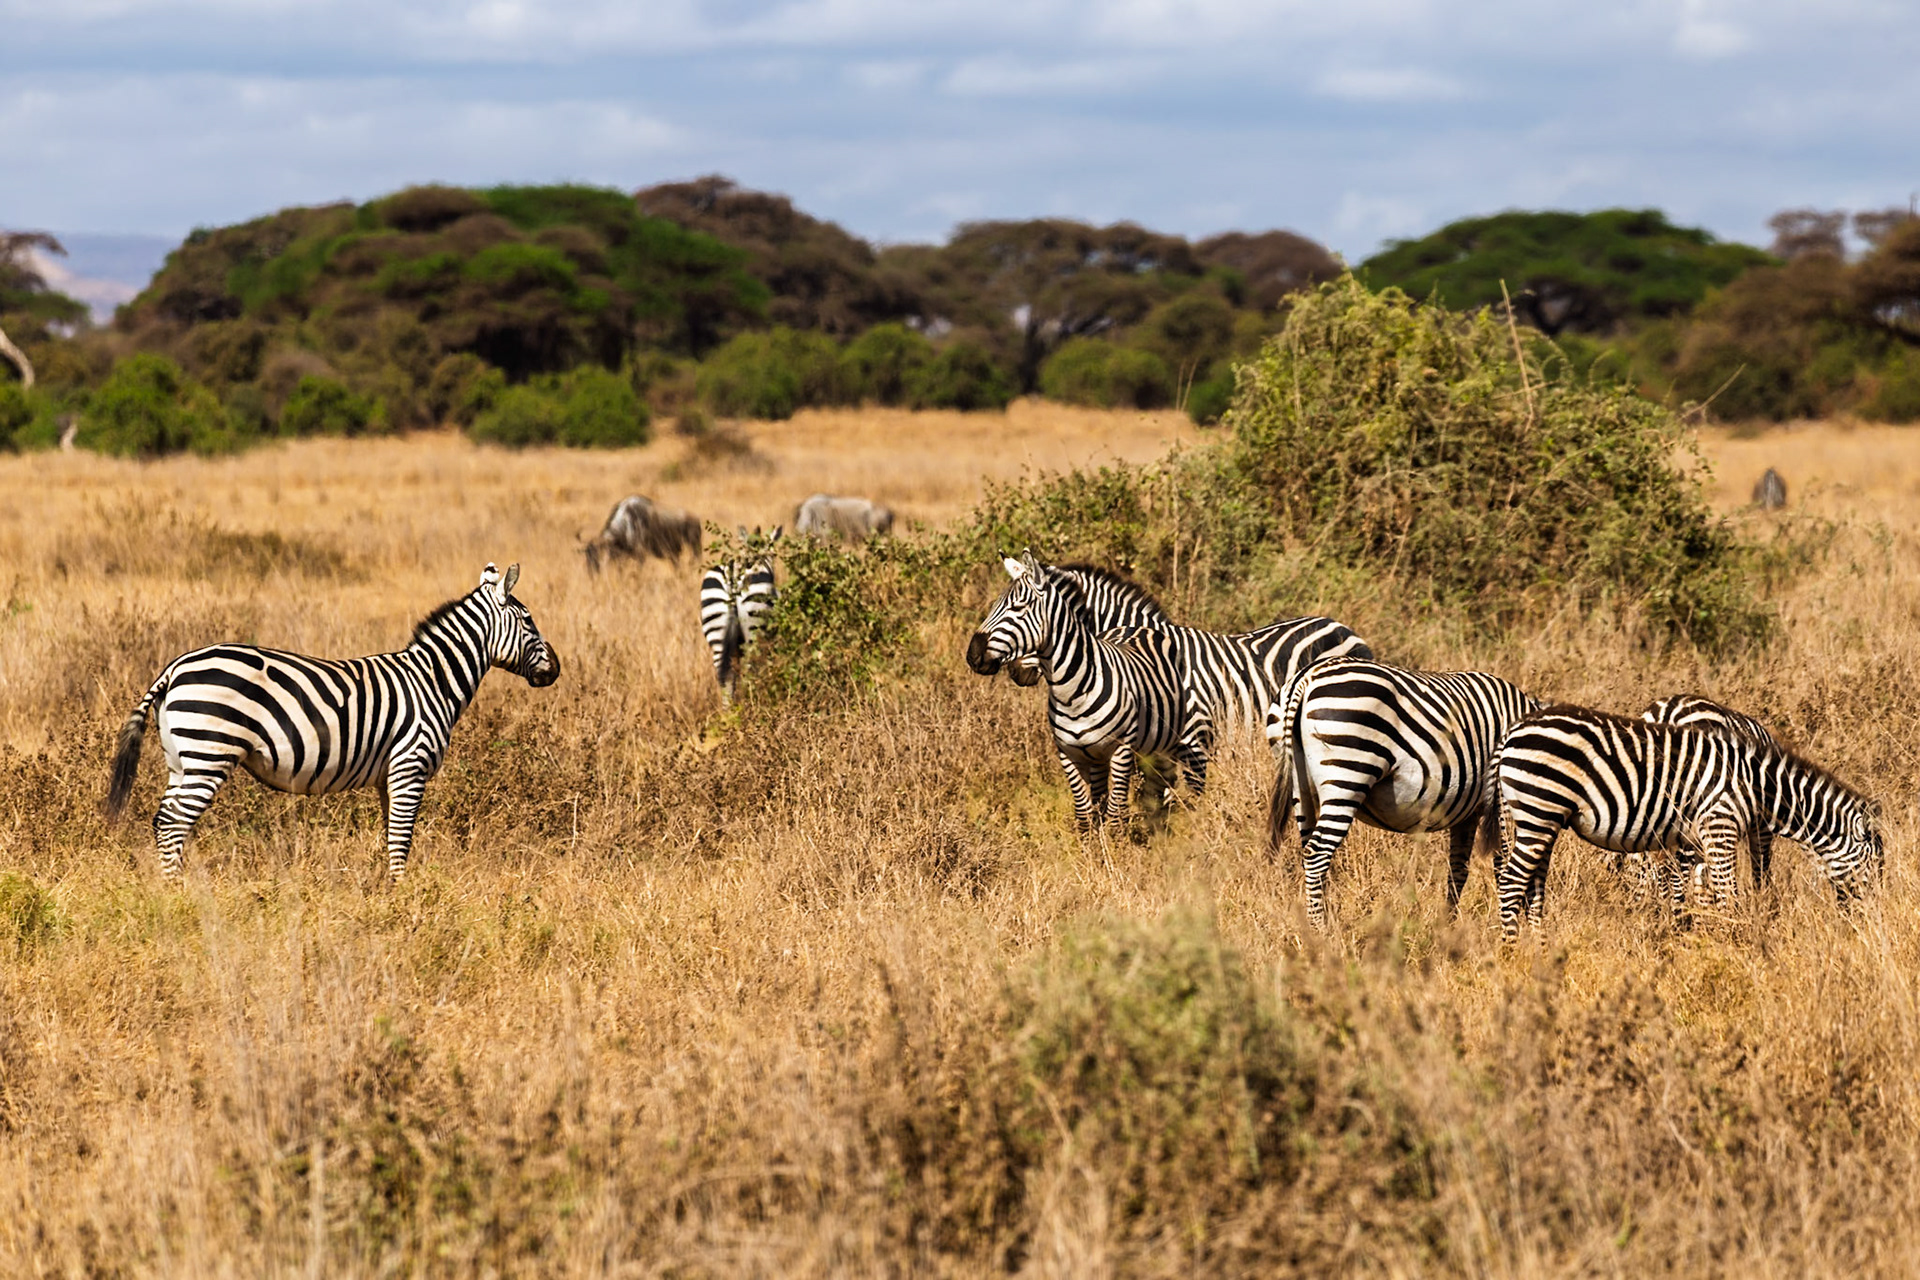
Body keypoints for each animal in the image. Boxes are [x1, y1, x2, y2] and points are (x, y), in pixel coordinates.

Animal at [104, 562, 561, 881]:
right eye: (529, 621)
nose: (556, 670)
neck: (433, 680)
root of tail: (174, 668)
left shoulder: (388, 777)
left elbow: (391, 837)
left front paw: (386, 890)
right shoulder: (410, 767)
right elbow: (402, 839)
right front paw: (401, 896)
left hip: (181, 758)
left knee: (162, 820)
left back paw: (174, 886)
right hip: (208, 752)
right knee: (174, 823)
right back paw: (178, 892)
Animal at [700, 531, 779, 705]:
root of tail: (732, 574)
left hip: (716, 631)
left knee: (725, 677)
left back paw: (730, 710)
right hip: (753, 628)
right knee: (750, 670)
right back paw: (752, 704)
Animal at [965, 553, 1197, 835]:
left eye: (1018, 608)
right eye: (994, 605)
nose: (973, 655)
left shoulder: (1124, 750)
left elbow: (1118, 814)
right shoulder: (1072, 753)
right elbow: (1088, 813)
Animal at [1266, 657, 1541, 929]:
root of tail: (1307, 675)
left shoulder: (1470, 814)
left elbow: (1459, 869)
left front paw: (1448, 925)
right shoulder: (1503, 802)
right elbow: (1510, 866)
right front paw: (1522, 925)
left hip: (1300, 784)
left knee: (1308, 849)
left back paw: (1321, 919)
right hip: (1347, 773)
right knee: (1317, 852)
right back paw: (1321, 929)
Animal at [1494, 706, 1883, 941]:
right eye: (1875, 869)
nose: (1868, 924)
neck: (1759, 786)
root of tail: (1513, 731)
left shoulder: (1697, 839)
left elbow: (1695, 891)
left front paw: (1698, 935)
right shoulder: (1721, 827)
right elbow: (1728, 896)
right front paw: (1735, 947)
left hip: (1542, 818)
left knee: (1532, 886)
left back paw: (1540, 947)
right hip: (1539, 808)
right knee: (1512, 882)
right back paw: (1511, 952)